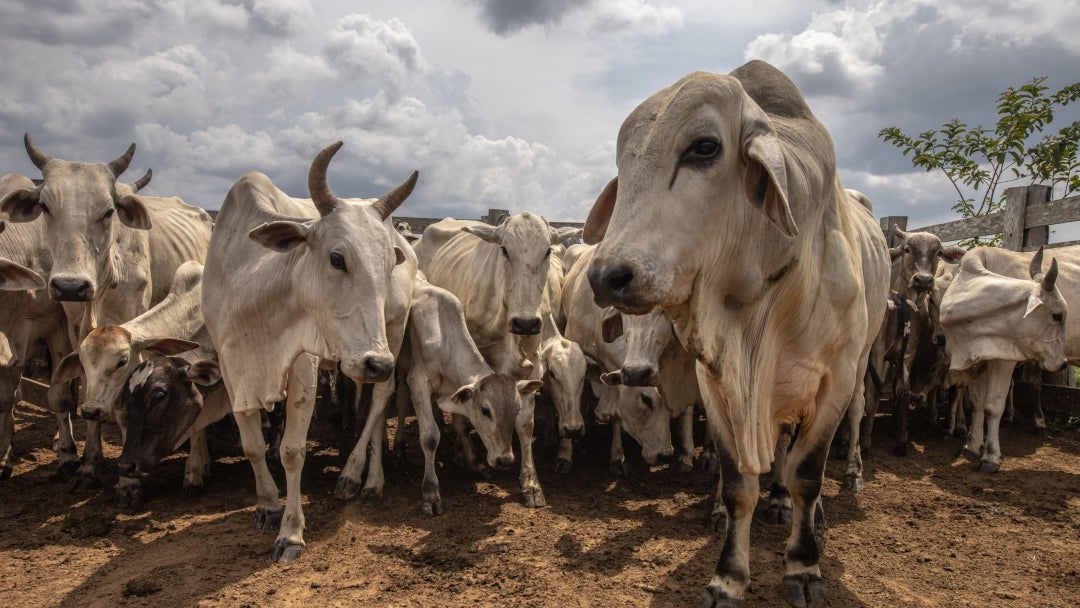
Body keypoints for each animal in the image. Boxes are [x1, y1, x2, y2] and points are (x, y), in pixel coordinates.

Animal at [200, 141, 414, 561]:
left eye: (386, 265)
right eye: (337, 258)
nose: (377, 362)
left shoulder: (303, 368)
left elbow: (292, 450)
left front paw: (291, 533)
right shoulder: (234, 369)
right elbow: (252, 444)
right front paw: (267, 505)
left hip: (392, 332)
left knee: (381, 397)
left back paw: (360, 478)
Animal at [587, 59, 889, 604]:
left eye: (705, 147)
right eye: (624, 160)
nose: (607, 276)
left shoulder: (833, 378)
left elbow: (808, 474)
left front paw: (803, 568)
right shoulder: (718, 381)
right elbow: (737, 484)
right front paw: (727, 576)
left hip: (857, 369)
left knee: (843, 432)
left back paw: (827, 497)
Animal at [937, 245, 1071, 473]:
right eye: (1057, 315)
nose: (1063, 363)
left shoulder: (1002, 360)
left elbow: (992, 407)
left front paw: (990, 457)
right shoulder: (977, 360)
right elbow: (977, 404)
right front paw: (971, 447)